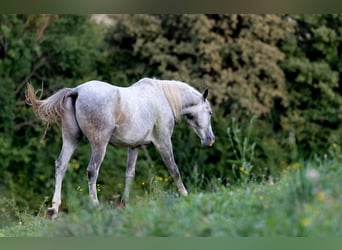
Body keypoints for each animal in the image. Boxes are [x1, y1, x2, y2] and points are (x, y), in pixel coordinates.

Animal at [25, 77, 215, 219]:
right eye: (209, 112)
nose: (210, 140)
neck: (163, 97)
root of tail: (77, 91)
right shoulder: (163, 141)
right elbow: (174, 170)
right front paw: (185, 195)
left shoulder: (135, 147)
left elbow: (129, 174)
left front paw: (124, 204)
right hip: (99, 144)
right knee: (92, 171)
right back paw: (95, 206)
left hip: (71, 138)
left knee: (61, 165)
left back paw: (54, 209)